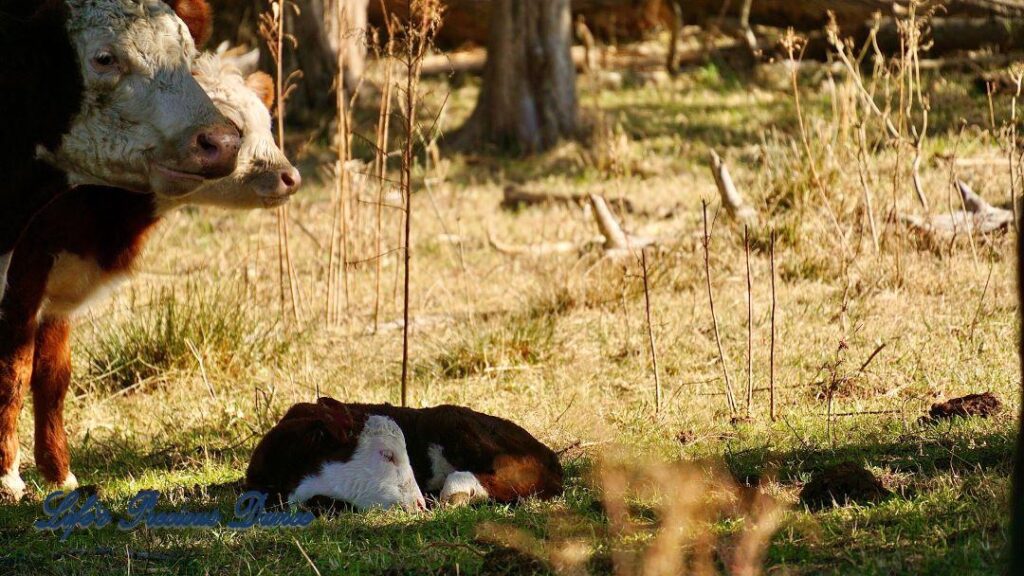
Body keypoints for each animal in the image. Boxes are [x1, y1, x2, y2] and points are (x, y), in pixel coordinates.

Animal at [0, 51, 299, 500]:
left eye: (267, 122)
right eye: (233, 128)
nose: (291, 177)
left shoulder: (61, 289)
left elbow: (53, 377)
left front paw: (59, 473)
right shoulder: (21, 281)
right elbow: (13, 374)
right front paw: (8, 477)